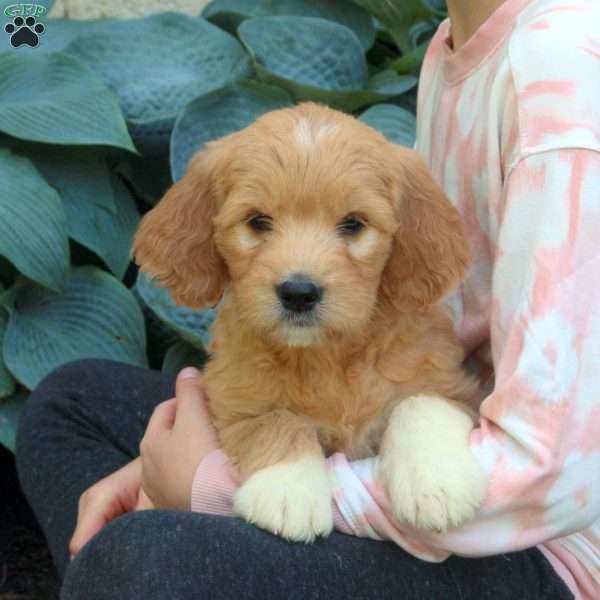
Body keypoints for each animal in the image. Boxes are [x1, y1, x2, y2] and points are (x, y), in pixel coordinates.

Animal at [132, 103, 488, 544]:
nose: (298, 292)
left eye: (353, 224)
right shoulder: (233, 396)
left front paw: (437, 482)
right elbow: (274, 420)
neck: (327, 356)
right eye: (257, 221)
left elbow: (420, 401)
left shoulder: (449, 381)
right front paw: (289, 490)